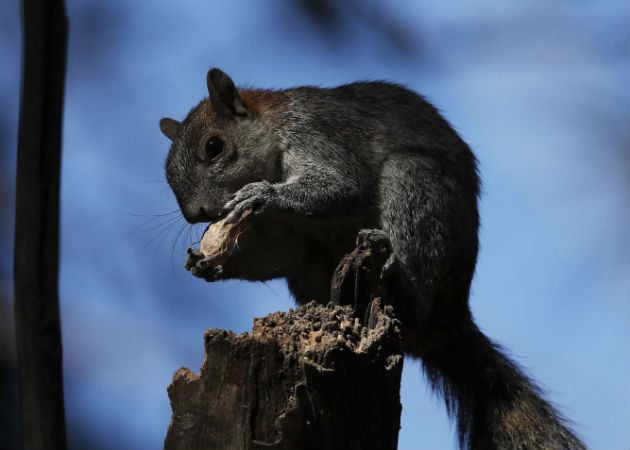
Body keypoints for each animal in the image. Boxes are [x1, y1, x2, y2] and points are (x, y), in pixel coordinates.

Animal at [158, 68, 588, 448]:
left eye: (214, 147)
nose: (196, 214)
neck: (272, 131)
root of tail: (448, 324)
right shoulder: (290, 239)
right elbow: (281, 254)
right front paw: (207, 263)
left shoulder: (316, 135)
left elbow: (344, 185)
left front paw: (262, 194)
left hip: (415, 183)